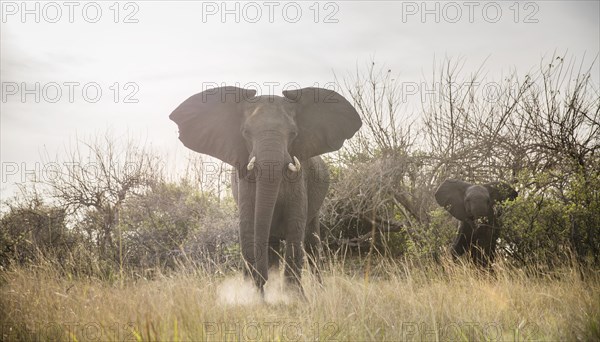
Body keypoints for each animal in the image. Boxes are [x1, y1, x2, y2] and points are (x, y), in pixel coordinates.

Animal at [169, 85, 360, 294]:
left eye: (293, 134)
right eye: (245, 133)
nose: (262, 280)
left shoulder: (299, 179)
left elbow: (295, 226)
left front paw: (293, 297)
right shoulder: (243, 180)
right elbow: (247, 227)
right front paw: (253, 295)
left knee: (311, 244)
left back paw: (318, 291)